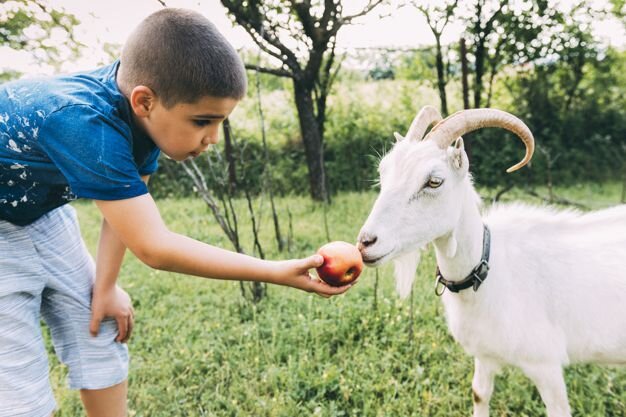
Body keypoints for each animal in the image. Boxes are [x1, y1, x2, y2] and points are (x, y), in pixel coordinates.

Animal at [356, 105, 624, 416]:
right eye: (383, 172)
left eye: (434, 181)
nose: (365, 242)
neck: (490, 272)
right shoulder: (484, 354)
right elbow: (479, 394)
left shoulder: (546, 365)